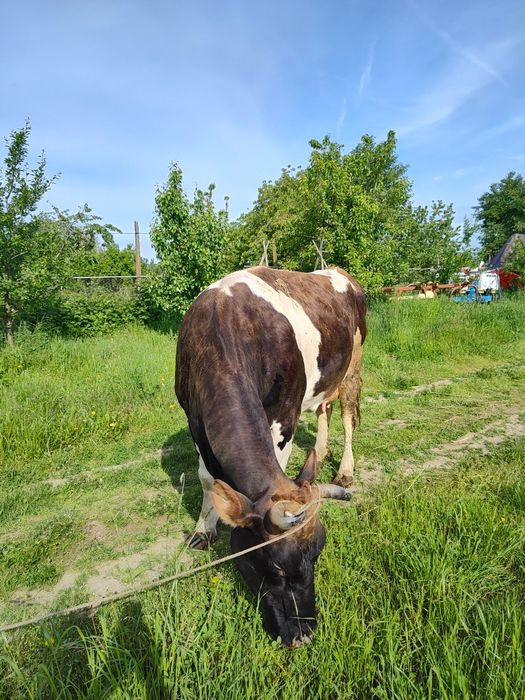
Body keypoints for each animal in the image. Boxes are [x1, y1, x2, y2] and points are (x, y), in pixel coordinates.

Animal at [175, 266, 366, 647]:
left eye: (317, 558)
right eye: (277, 569)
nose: (305, 635)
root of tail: (337, 271)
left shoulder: (284, 414)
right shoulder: (194, 419)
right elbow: (207, 478)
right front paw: (203, 530)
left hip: (353, 364)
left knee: (347, 414)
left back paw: (345, 469)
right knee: (323, 408)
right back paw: (322, 451)